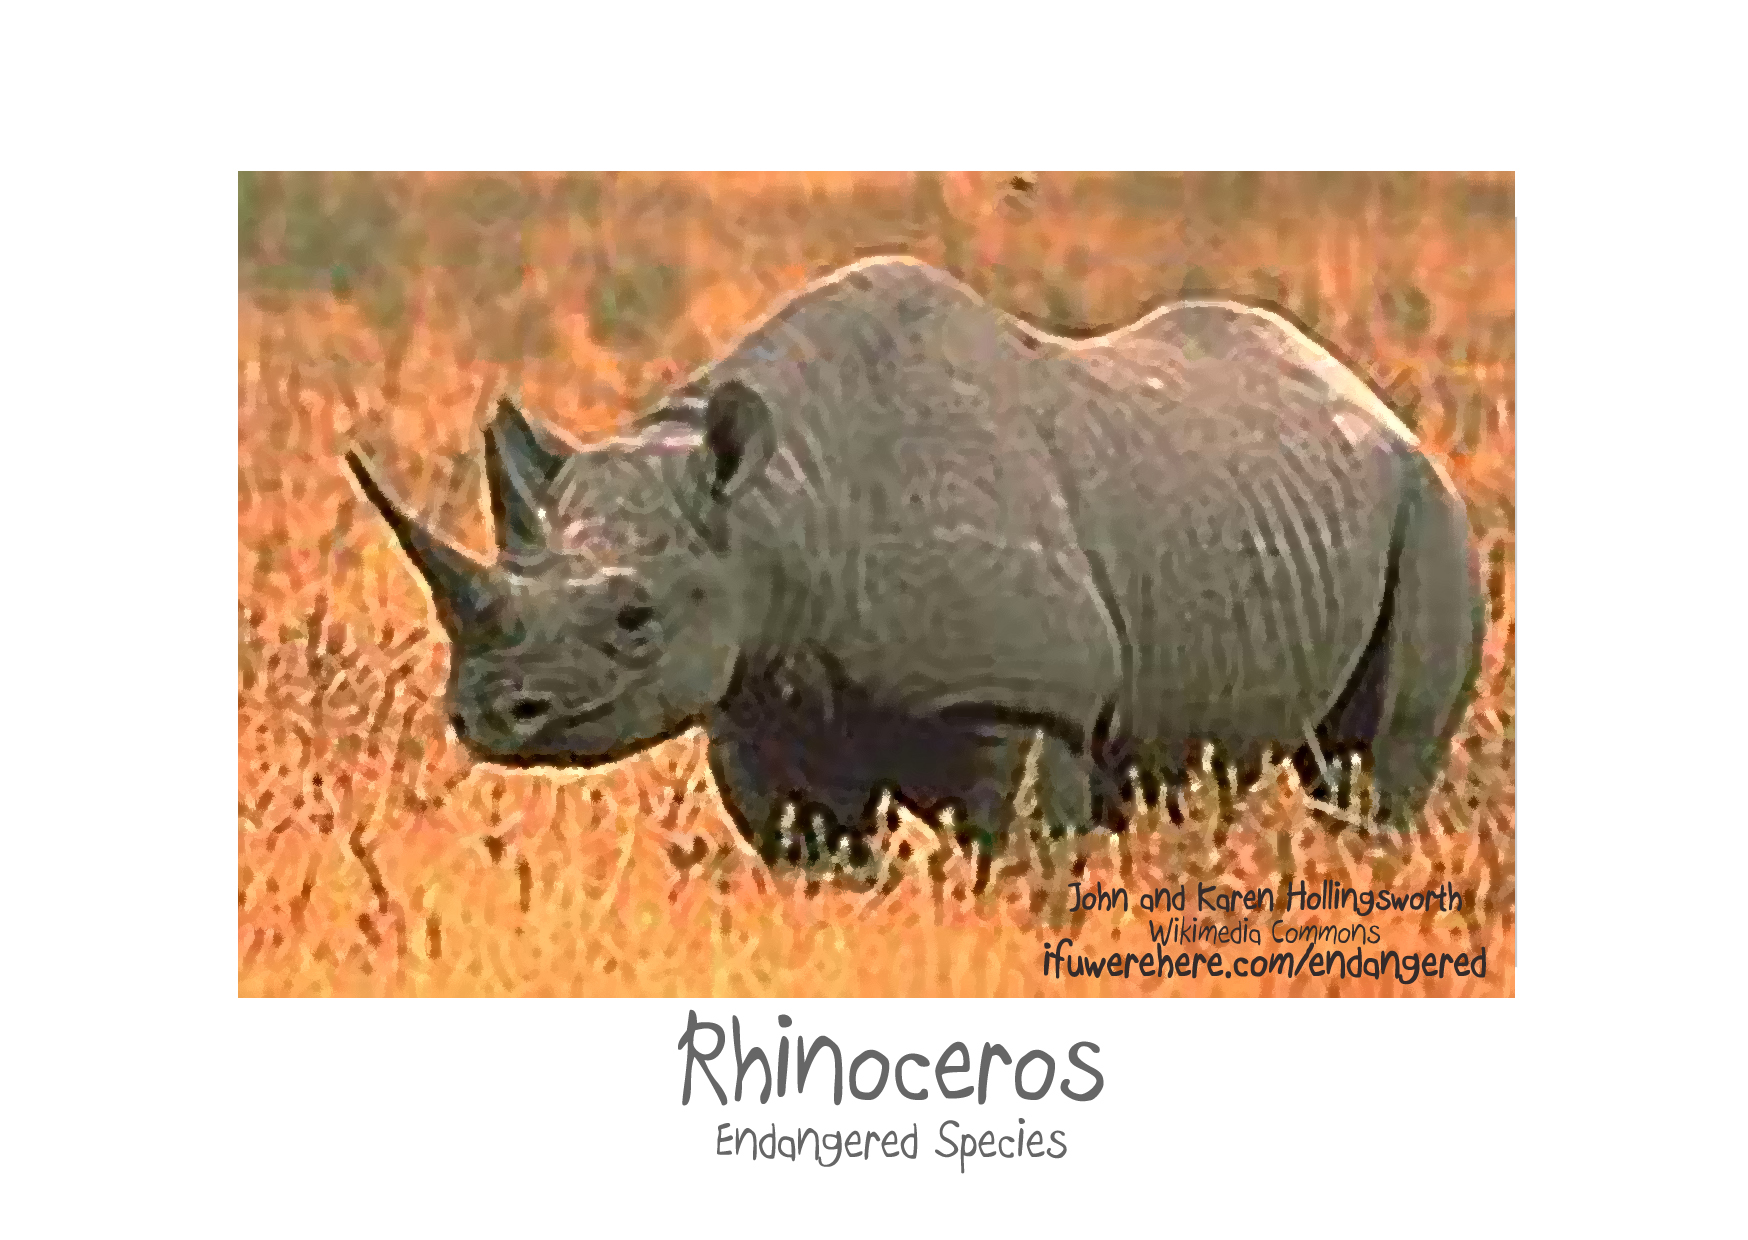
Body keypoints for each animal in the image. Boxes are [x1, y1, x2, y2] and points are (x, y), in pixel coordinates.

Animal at [346, 256, 1483, 853]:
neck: (782, 511)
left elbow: (1016, 853)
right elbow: (811, 853)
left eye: (635, 618)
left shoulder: (1021, 699)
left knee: (1370, 770)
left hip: (1428, 509)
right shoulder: (762, 697)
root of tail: (1367, 395)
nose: (493, 715)